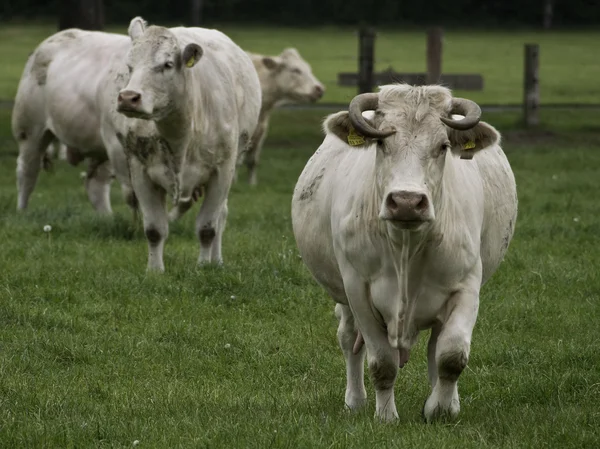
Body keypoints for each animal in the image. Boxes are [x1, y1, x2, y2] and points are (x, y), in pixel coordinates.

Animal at [100, 16, 260, 270]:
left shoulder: (222, 171)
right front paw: (154, 270)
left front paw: (204, 266)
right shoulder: (140, 172)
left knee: (221, 216)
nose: (128, 98)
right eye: (129, 66)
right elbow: (154, 229)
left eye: (167, 64)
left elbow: (208, 228)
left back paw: (216, 260)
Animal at [240, 50, 326, 186]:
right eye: (296, 70)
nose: (319, 89)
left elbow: (252, 161)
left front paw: (252, 185)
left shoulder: (261, 131)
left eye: (309, 68)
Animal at [290, 83, 516, 420]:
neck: (406, 250)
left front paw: (440, 409)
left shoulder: (467, 286)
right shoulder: (357, 289)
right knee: (348, 337)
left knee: (436, 346)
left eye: (443, 146)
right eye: (382, 142)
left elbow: (451, 355)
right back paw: (355, 400)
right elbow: (382, 362)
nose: (407, 201)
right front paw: (385, 416)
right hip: (343, 294)